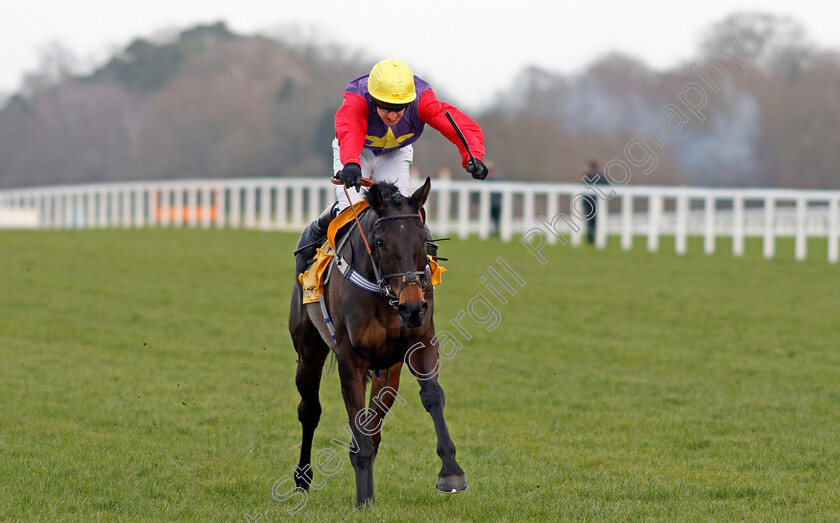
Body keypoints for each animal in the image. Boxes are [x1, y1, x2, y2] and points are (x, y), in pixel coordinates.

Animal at [290, 177, 470, 508]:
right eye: (382, 242)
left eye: (423, 240)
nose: (413, 307)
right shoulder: (351, 357)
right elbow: (354, 419)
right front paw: (362, 498)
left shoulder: (421, 343)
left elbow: (432, 395)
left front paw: (451, 472)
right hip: (308, 351)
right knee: (309, 410)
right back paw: (303, 478)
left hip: (388, 372)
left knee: (374, 427)